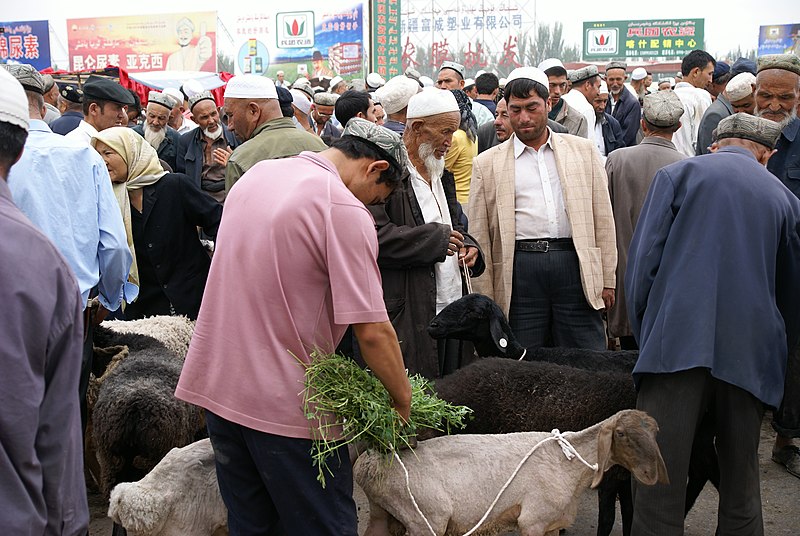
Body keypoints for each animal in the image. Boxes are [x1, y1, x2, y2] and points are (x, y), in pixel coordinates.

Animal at [354, 408, 664, 532]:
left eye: (655, 433)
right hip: (425, 517)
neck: (568, 462)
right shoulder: (532, 521)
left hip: (385, 512)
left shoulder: (551, 525)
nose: (651, 474)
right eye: (621, 434)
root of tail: (367, 463)